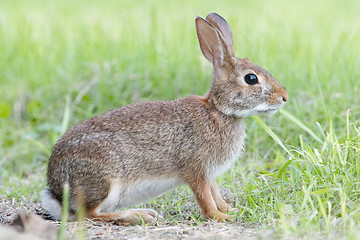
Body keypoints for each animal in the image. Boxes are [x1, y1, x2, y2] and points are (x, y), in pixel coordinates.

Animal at [41, 12, 286, 224]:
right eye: (251, 79)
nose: (284, 97)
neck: (218, 110)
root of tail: (56, 193)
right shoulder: (196, 169)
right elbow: (205, 198)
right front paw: (221, 217)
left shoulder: (210, 174)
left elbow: (215, 193)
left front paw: (230, 210)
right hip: (105, 181)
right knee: (89, 214)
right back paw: (139, 215)